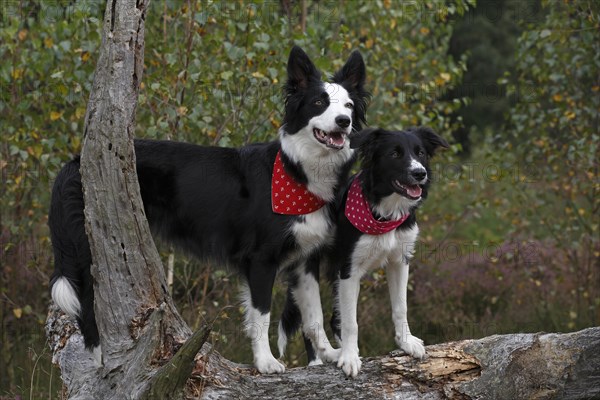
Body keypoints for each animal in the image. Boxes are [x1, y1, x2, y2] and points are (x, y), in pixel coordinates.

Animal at [50, 47, 370, 376]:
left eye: (348, 105)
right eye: (319, 103)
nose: (344, 121)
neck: (298, 173)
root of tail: (75, 161)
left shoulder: (305, 261)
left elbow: (314, 316)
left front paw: (331, 354)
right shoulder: (261, 260)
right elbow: (262, 315)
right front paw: (265, 362)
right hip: (90, 248)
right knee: (87, 305)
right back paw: (100, 360)